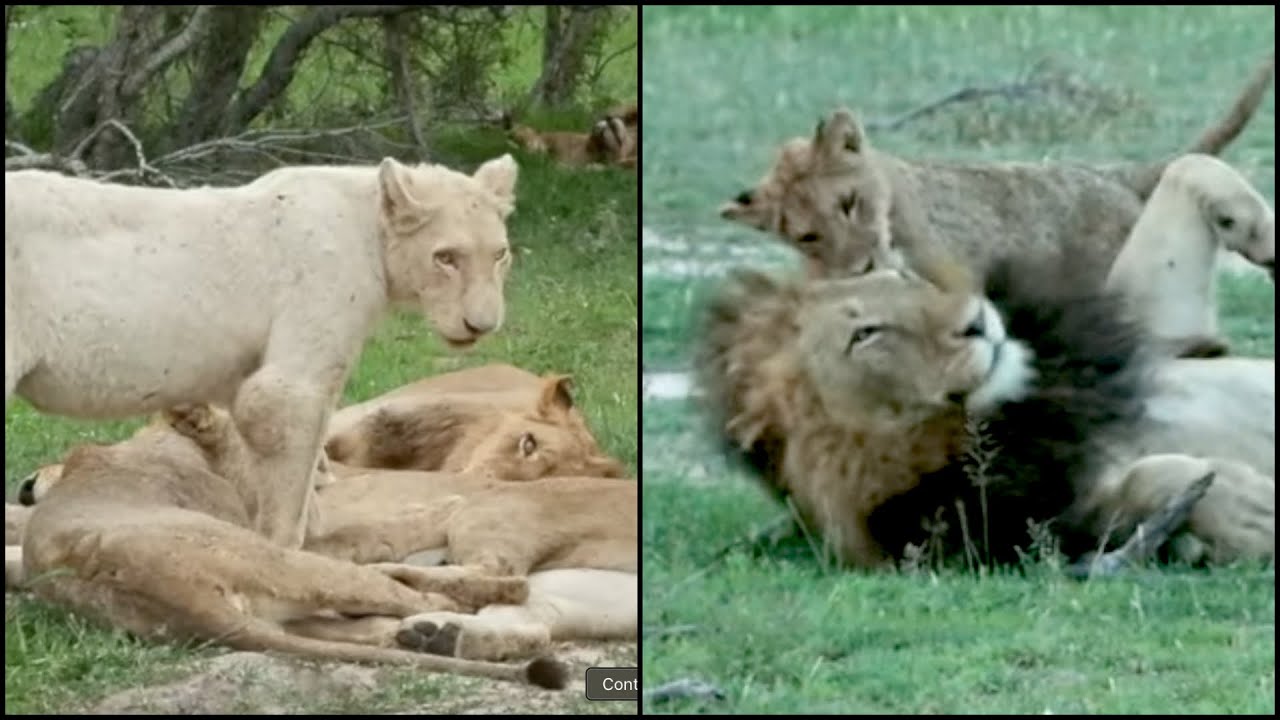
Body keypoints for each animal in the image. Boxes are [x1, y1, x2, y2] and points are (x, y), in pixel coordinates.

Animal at [5, 155, 518, 551]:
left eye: (500, 254)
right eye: (446, 257)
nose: (482, 325)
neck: (370, 232)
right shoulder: (296, 370)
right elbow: (289, 455)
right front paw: (284, 550)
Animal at [9, 402, 637, 666]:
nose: (27, 484)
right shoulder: (295, 536)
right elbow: (389, 526)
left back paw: (427, 629)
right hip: (290, 569)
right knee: (497, 590)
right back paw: (433, 615)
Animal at [696, 260, 1273, 570]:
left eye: (898, 275)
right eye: (865, 335)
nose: (977, 319)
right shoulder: (1016, 531)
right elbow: (1144, 486)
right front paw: (1247, 507)